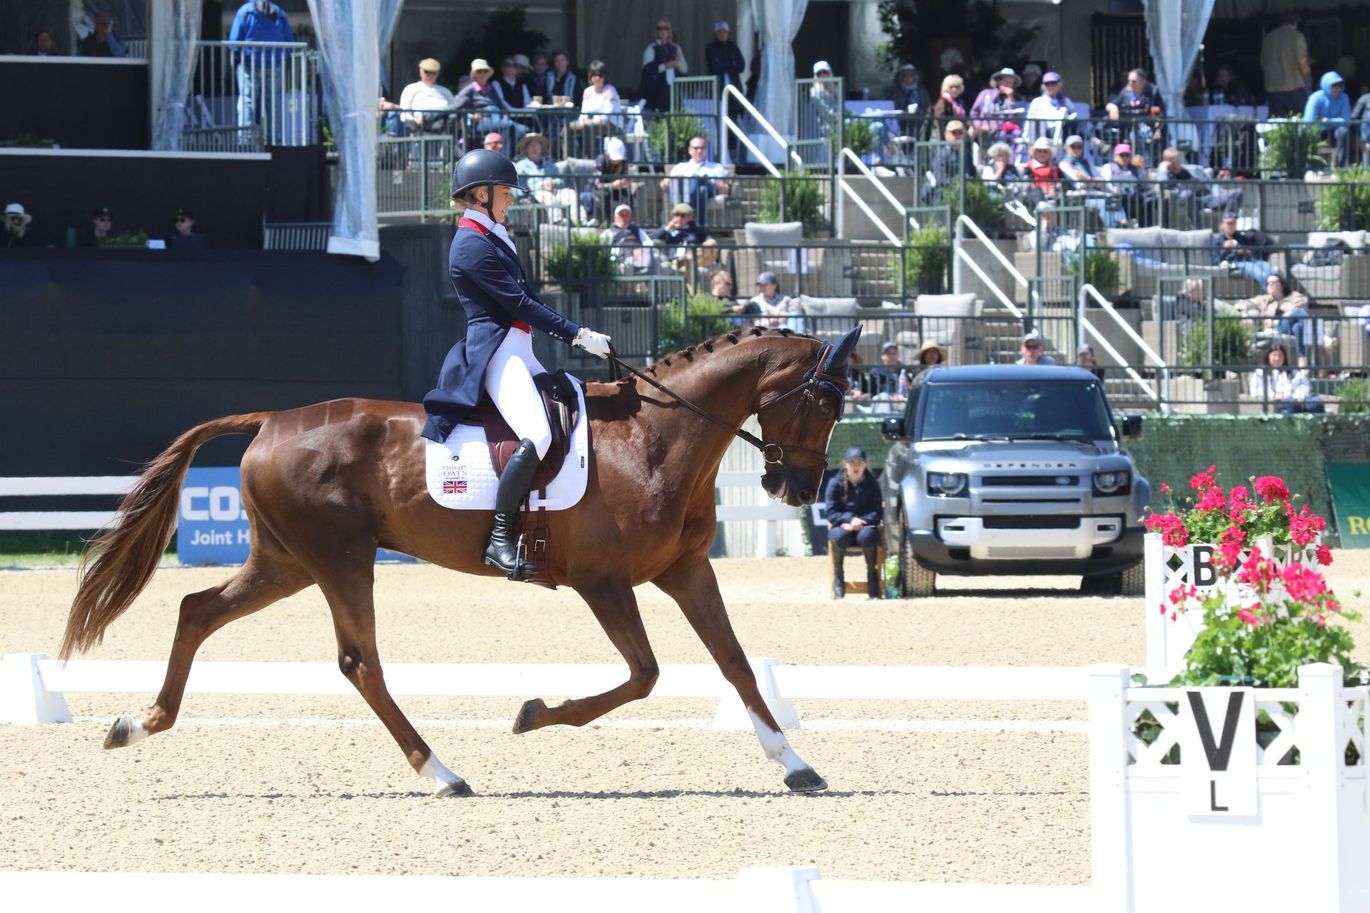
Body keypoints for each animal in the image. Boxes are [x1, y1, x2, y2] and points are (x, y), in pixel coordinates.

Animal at [64, 324, 860, 789]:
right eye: (826, 402)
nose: (797, 488)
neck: (655, 440)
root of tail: (271, 421)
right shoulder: (603, 582)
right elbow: (644, 675)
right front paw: (533, 713)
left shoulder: (685, 569)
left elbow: (734, 660)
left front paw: (795, 763)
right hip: (339, 559)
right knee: (359, 662)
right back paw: (441, 771)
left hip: (286, 562)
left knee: (197, 610)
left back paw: (139, 723)